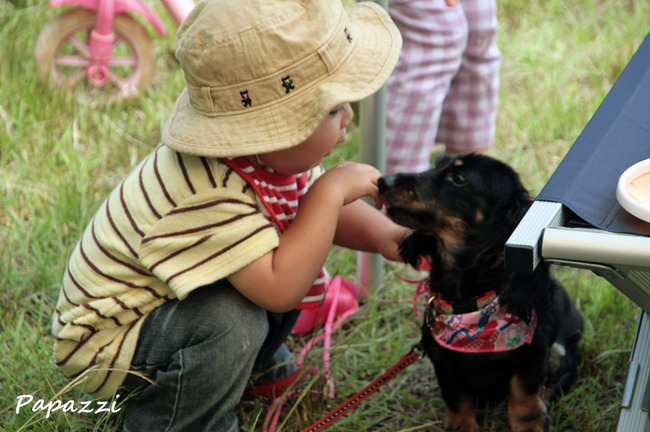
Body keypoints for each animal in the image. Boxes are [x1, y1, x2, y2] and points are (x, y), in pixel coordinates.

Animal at [374, 154, 584, 430]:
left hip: (561, 349)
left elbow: (524, 393)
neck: (470, 308)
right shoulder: (442, 360)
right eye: (438, 162)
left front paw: (530, 423)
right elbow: (455, 399)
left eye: (459, 179)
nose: (382, 181)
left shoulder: (533, 354)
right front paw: (462, 426)